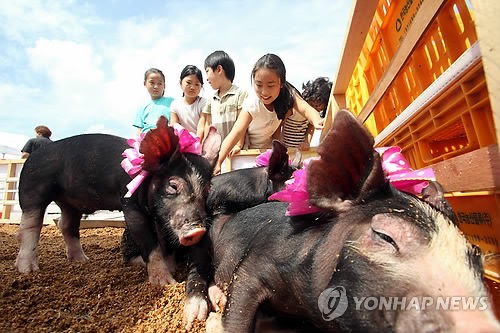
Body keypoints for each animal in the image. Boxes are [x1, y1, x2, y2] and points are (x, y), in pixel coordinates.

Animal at [15, 115, 221, 284]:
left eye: (207, 190)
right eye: (173, 185)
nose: (197, 231)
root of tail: (33, 156)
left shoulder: (162, 217)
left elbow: (166, 245)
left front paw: (173, 271)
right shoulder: (129, 204)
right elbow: (151, 245)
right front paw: (165, 283)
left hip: (70, 203)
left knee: (67, 225)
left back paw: (82, 261)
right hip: (32, 189)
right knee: (29, 225)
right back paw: (27, 270)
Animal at [188, 109, 500, 332]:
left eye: (476, 261)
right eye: (385, 236)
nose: (480, 326)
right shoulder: (256, 263)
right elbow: (239, 313)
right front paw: (219, 321)